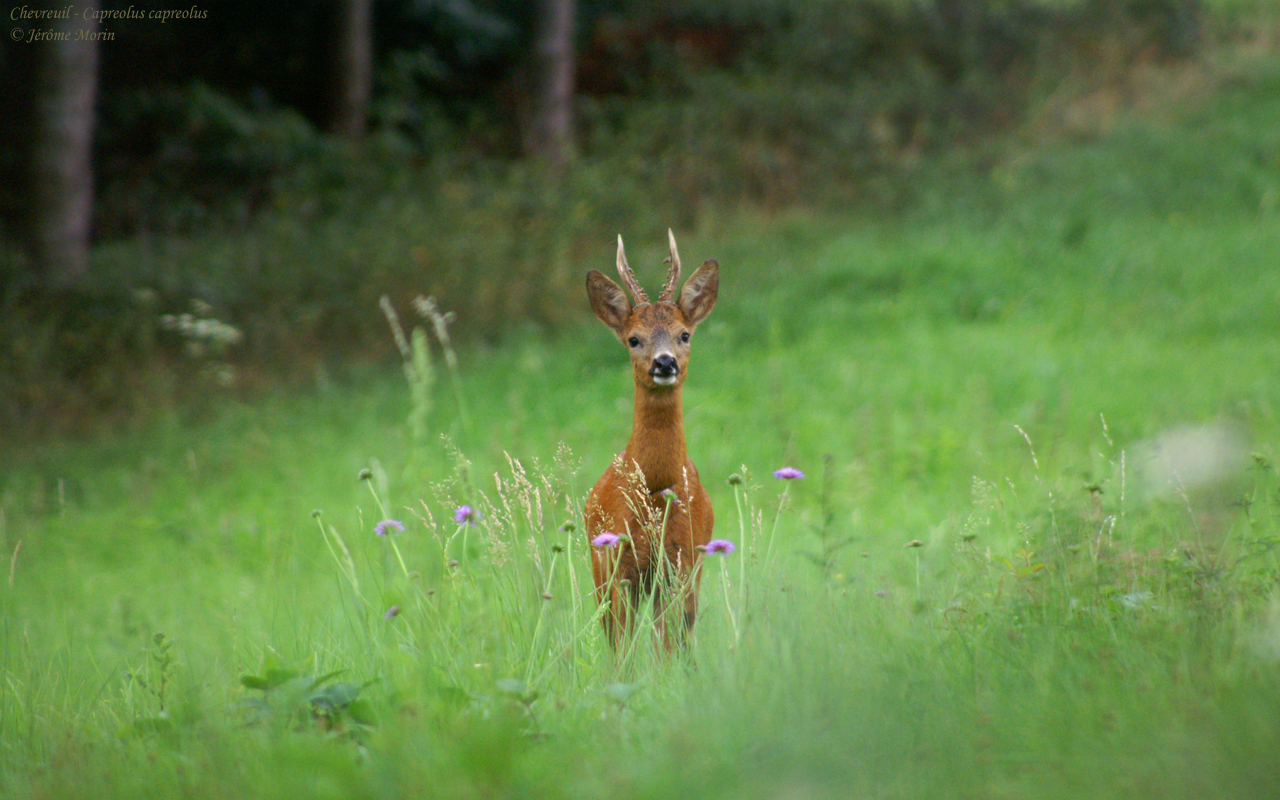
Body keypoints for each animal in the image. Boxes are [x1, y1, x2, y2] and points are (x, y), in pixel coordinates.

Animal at [583, 229, 716, 650]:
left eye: (684, 334)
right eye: (633, 339)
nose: (665, 362)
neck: (656, 491)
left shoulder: (681, 564)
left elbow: (667, 648)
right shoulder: (618, 567)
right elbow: (622, 651)